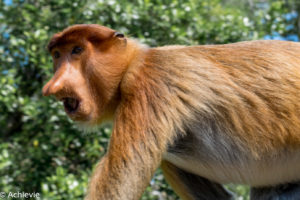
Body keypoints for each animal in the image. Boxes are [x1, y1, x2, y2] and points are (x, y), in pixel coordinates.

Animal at [42, 23, 300, 200]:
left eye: (77, 50)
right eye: (57, 55)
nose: (51, 87)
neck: (134, 63)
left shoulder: (149, 84)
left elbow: (119, 186)